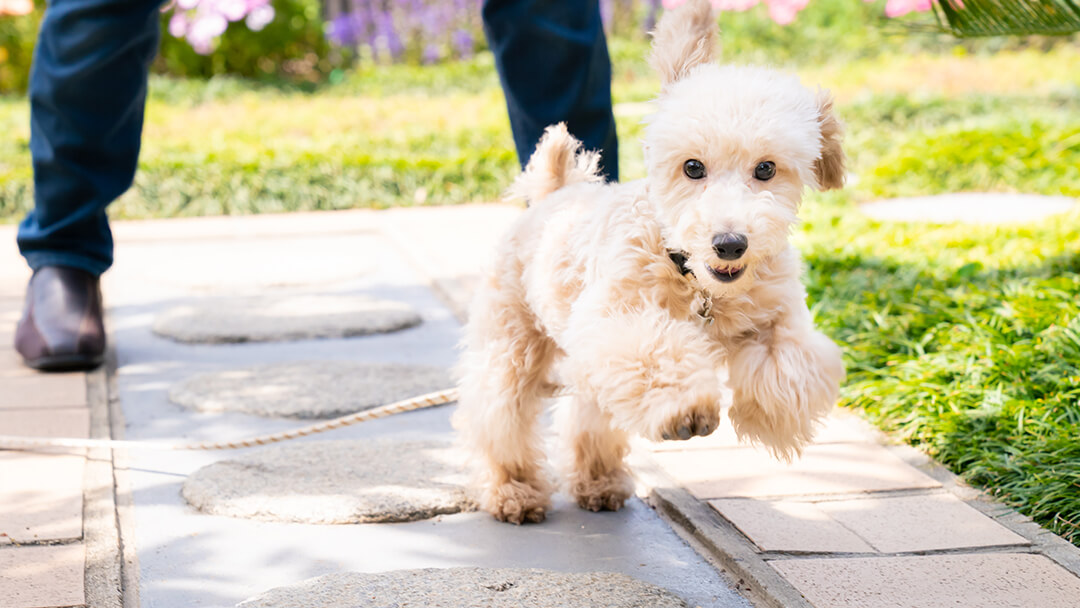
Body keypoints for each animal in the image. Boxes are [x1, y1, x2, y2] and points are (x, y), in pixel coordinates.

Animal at [451, 0, 846, 524]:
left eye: (766, 168)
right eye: (692, 167)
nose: (730, 244)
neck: (696, 283)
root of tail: (554, 192)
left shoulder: (775, 315)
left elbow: (790, 363)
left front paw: (770, 416)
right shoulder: (617, 320)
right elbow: (654, 355)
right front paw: (687, 410)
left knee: (589, 414)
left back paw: (598, 481)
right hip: (512, 342)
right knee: (500, 412)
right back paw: (513, 491)